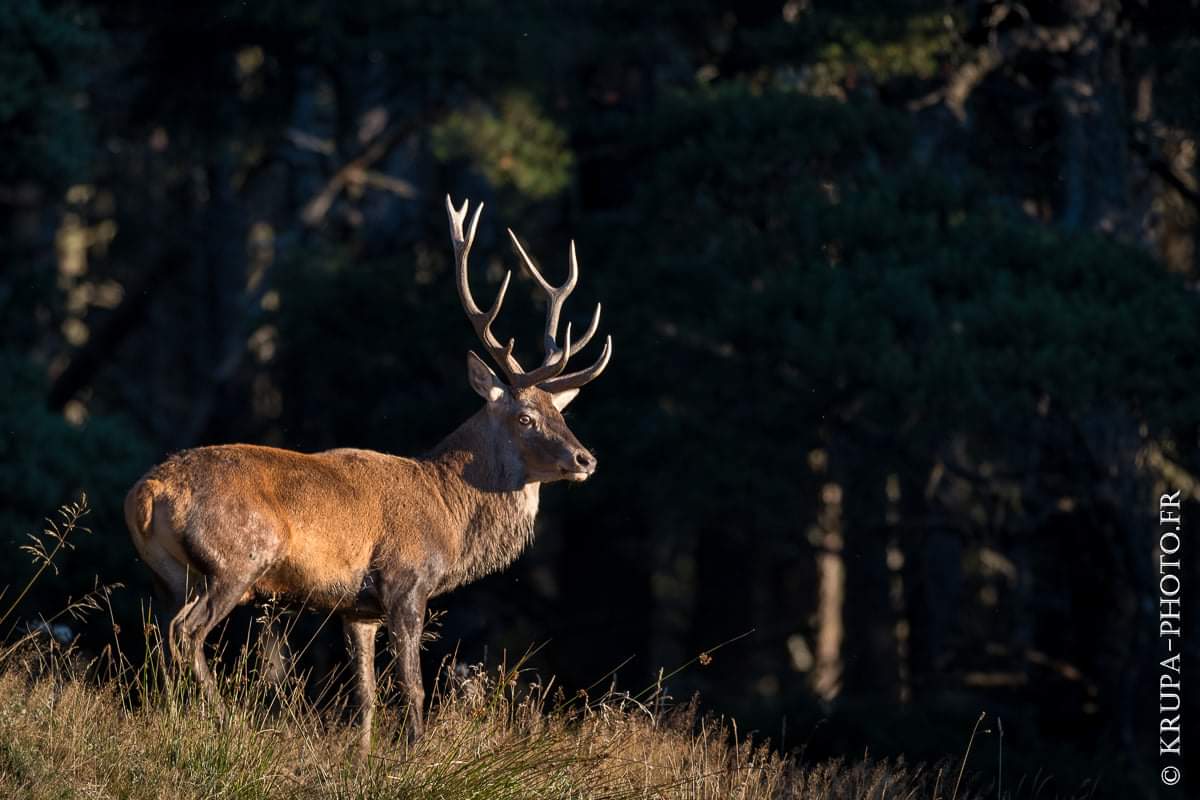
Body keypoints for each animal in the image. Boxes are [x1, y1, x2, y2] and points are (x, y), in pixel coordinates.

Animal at [123, 195, 612, 749]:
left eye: (561, 414)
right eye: (527, 417)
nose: (586, 459)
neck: (449, 513)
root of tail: (147, 492)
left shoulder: (357, 610)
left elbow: (366, 695)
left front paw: (363, 756)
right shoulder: (406, 581)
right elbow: (412, 687)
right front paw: (416, 751)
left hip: (167, 574)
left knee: (160, 635)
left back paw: (175, 719)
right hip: (237, 557)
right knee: (187, 632)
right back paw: (224, 721)